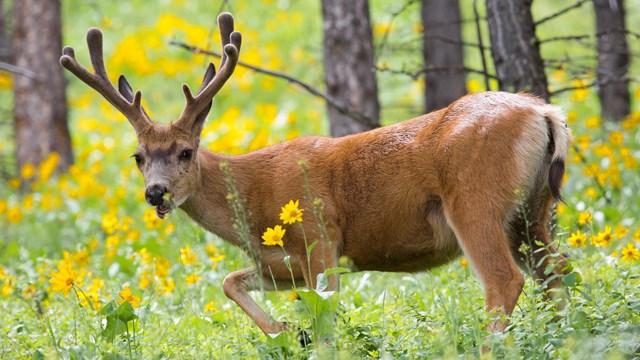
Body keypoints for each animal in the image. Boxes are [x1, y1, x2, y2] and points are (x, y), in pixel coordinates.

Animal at [61, 11, 568, 338]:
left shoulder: (321, 238)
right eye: (138, 156)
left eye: (186, 152)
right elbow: (229, 281)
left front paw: (304, 335)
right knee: (557, 271)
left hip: (474, 199)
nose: (156, 193)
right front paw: (284, 329)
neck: (253, 199)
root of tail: (546, 112)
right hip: (532, 210)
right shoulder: (280, 263)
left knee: (505, 281)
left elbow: (326, 323)